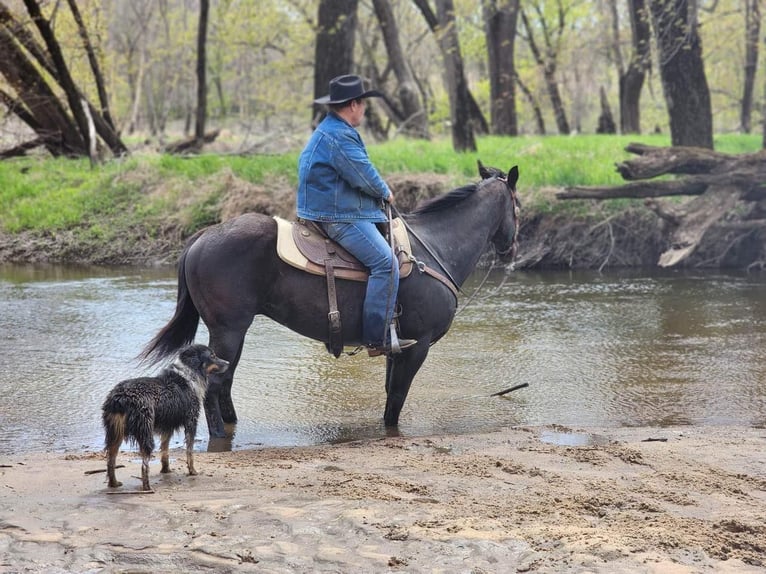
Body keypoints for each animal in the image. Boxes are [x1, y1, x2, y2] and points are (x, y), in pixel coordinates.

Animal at [102, 344, 228, 492]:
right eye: (212, 356)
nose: (228, 363)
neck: (190, 373)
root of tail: (120, 398)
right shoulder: (191, 420)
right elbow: (189, 451)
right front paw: (192, 471)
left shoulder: (167, 425)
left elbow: (165, 449)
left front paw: (166, 470)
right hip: (145, 431)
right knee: (144, 465)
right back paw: (147, 488)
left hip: (114, 432)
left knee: (111, 460)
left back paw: (114, 483)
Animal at [141, 164, 520, 438]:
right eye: (518, 207)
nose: (512, 249)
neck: (436, 247)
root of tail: (203, 236)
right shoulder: (418, 345)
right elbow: (396, 400)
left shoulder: (397, 347)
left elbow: (389, 393)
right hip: (229, 329)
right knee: (216, 384)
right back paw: (220, 436)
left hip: (233, 332)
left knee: (226, 381)